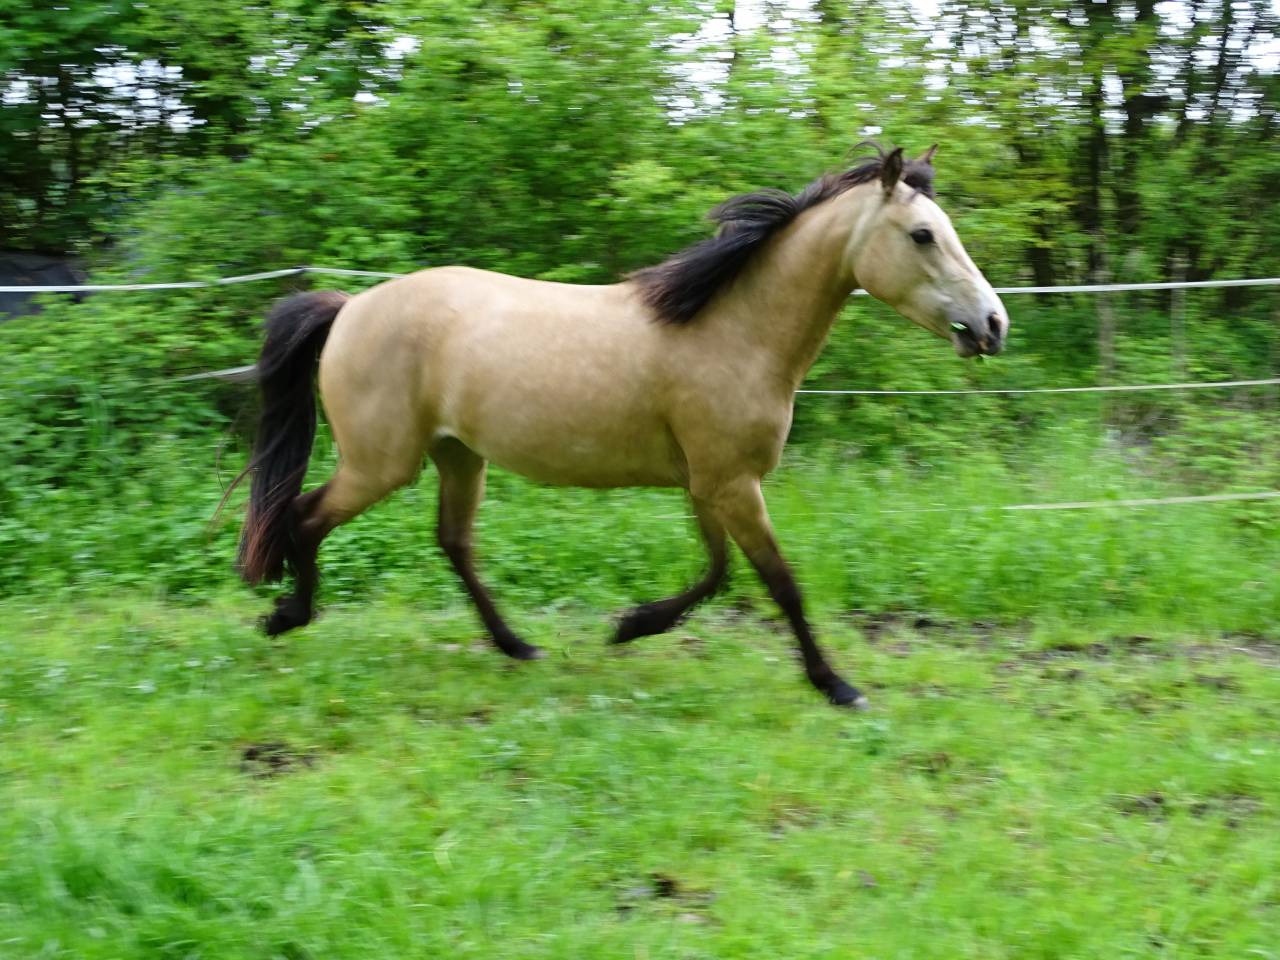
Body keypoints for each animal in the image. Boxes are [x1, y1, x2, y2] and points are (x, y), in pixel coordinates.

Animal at [229, 143, 1007, 708]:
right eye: (922, 235)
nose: (993, 324)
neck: (732, 331)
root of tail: (351, 306)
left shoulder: (710, 483)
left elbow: (719, 572)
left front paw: (632, 626)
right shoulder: (733, 483)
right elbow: (779, 580)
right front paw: (837, 685)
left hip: (458, 456)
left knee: (452, 543)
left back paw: (517, 646)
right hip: (381, 462)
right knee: (304, 515)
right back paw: (288, 616)